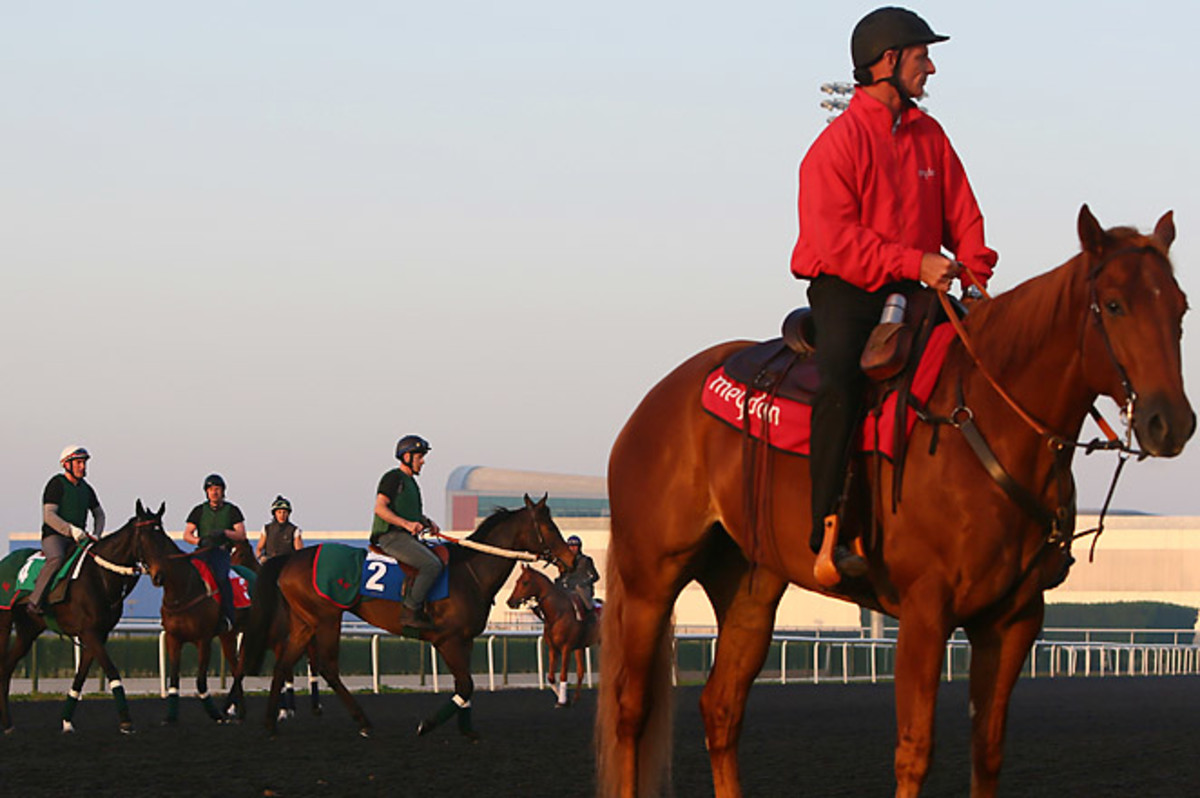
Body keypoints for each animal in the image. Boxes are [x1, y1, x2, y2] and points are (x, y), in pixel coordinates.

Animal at [0, 501, 160, 733]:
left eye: (162, 533)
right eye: (147, 535)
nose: (158, 573)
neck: (100, 578)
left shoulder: (98, 634)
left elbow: (80, 676)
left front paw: (67, 721)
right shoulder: (90, 633)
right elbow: (111, 670)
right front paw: (126, 720)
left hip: (28, 630)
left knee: (6, 667)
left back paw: (8, 723)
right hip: (4, 621)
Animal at [239, 494, 575, 738]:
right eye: (549, 527)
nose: (570, 559)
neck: (470, 572)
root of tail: (290, 558)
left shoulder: (465, 640)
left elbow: (465, 685)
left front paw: (467, 729)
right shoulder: (448, 640)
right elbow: (465, 685)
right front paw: (428, 724)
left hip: (305, 622)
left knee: (283, 664)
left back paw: (270, 723)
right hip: (326, 618)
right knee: (327, 667)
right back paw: (363, 722)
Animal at [506, 564, 600, 707]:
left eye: (525, 582)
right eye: (517, 581)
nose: (510, 602)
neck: (557, 614)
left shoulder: (566, 648)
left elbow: (563, 675)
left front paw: (562, 701)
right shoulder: (553, 649)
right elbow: (550, 677)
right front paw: (564, 699)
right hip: (580, 647)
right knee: (581, 671)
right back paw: (576, 698)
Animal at [595, 206, 1194, 798]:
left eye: (1181, 308)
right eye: (1113, 305)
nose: (1171, 422)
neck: (982, 423)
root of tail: (655, 402)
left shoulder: (1014, 618)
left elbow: (988, 752)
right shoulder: (926, 611)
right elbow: (915, 751)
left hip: (749, 586)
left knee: (721, 708)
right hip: (652, 580)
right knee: (631, 711)